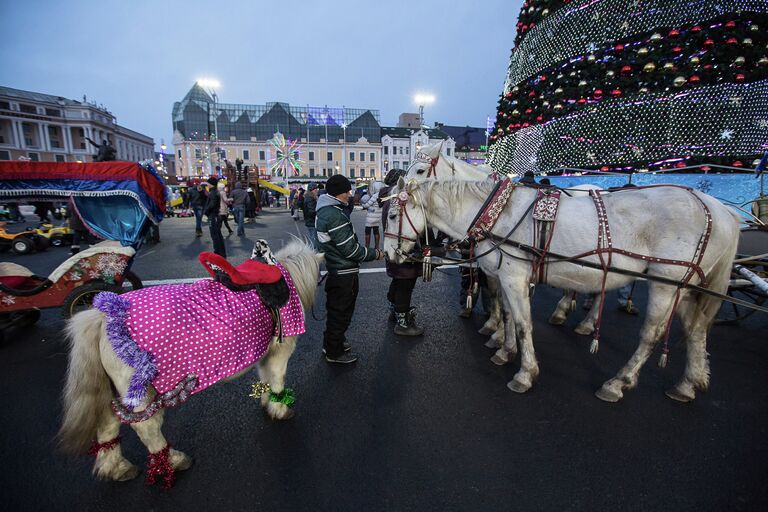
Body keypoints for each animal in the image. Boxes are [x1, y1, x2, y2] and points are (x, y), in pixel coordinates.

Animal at [58, 240, 322, 484]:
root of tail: (101, 317)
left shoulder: (265, 354)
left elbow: (266, 380)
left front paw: (268, 403)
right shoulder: (279, 352)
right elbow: (277, 380)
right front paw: (280, 408)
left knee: (107, 425)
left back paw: (116, 468)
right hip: (143, 395)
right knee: (148, 429)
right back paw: (173, 461)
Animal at [388, 178, 740, 402]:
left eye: (392, 214)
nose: (389, 254)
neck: (497, 214)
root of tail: (717, 209)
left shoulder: (514, 276)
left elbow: (522, 323)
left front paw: (525, 373)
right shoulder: (505, 277)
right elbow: (507, 316)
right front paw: (505, 351)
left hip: (666, 283)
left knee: (651, 336)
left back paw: (618, 382)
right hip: (687, 287)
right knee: (696, 329)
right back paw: (689, 383)